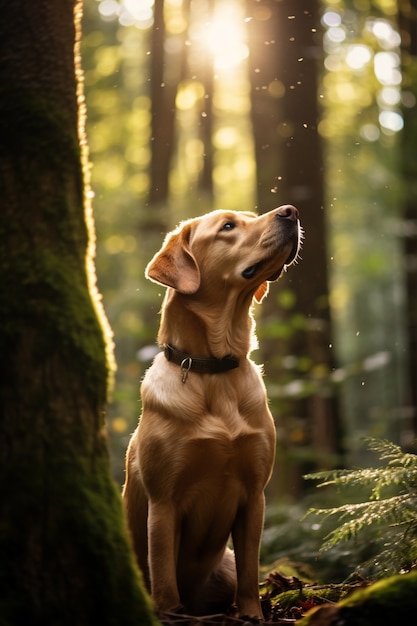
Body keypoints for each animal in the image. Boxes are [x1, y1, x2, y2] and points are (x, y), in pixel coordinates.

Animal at [122, 205, 300, 616]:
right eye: (228, 226)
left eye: (251, 216)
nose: (292, 212)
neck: (214, 370)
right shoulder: (163, 502)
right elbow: (165, 580)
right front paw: (171, 615)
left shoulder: (254, 496)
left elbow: (251, 574)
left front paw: (252, 616)